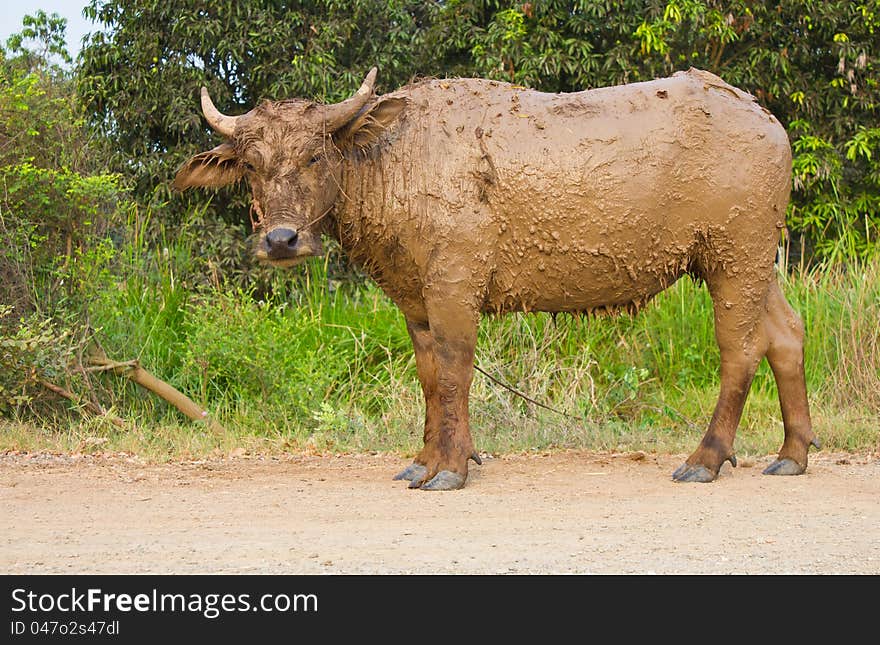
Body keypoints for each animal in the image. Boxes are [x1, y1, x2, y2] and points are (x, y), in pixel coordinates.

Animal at [175, 66, 820, 488]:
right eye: (251, 165)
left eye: (315, 155)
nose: (281, 240)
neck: (394, 161)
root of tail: (769, 122)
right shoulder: (414, 299)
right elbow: (430, 376)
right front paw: (426, 460)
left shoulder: (455, 285)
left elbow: (456, 369)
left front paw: (450, 470)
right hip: (751, 261)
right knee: (786, 333)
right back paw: (792, 453)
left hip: (734, 257)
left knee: (740, 348)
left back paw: (704, 460)